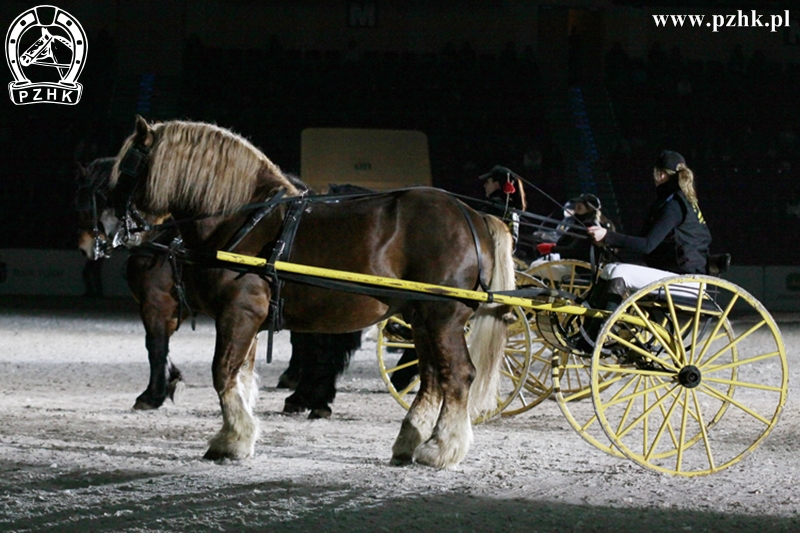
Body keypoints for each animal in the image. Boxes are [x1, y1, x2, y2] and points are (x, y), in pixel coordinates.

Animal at [111, 116, 512, 466]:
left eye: (128, 169)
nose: (115, 227)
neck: (243, 220)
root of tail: (471, 215)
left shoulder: (237, 311)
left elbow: (222, 371)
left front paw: (230, 440)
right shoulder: (245, 318)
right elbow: (241, 376)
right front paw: (240, 435)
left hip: (442, 317)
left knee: (457, 375)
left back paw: (441, 449)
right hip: (421, 317)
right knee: (430, 377)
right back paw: (409, 442)